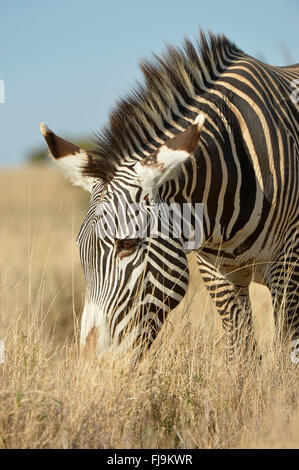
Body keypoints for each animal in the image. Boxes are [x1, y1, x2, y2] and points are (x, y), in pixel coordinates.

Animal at [40, 33, 299, 364]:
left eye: (127, 244)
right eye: (80, 247)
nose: (92, 367)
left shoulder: (289, 263)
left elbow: (288, 355)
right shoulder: (217, 272)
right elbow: (242, 354)